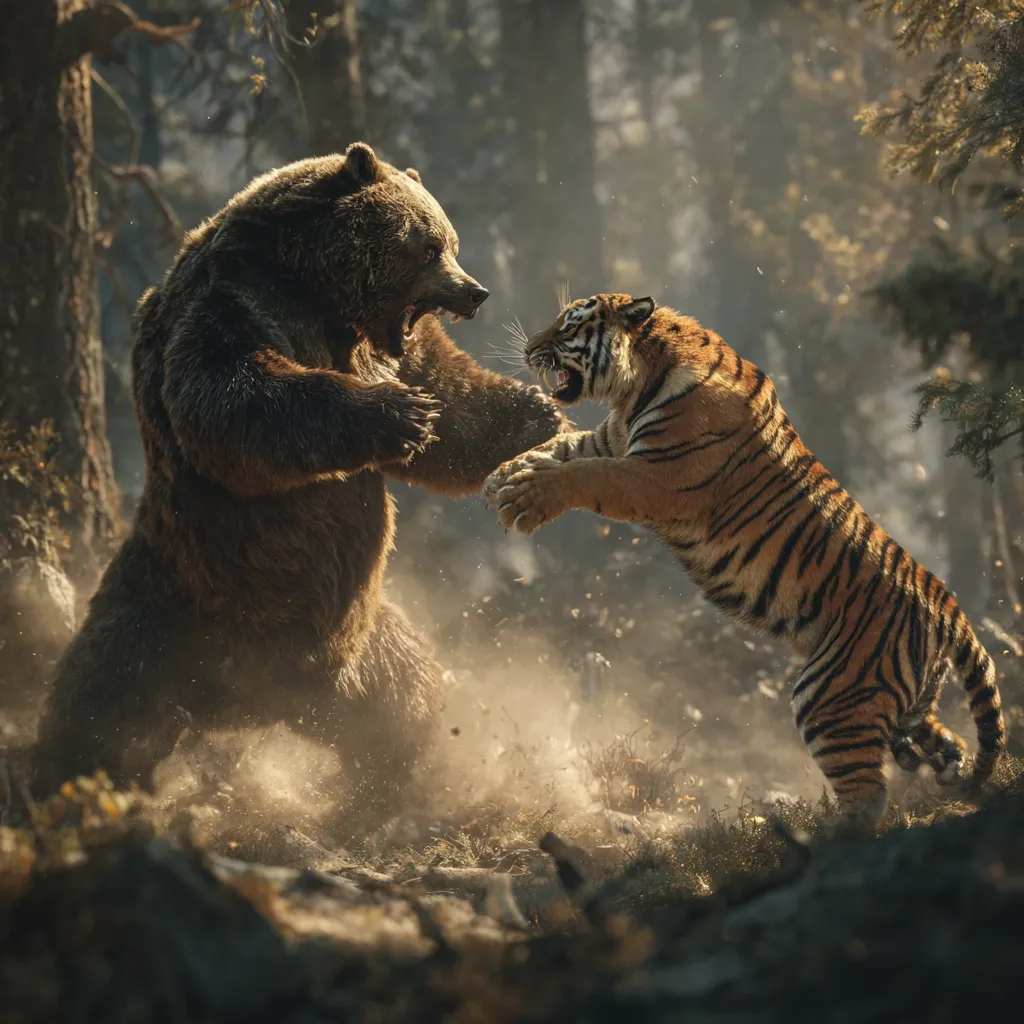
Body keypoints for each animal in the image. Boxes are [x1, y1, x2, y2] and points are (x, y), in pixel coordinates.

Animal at [29, 142, 566, 834]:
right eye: (428, 245)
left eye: (449, 241)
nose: (475, 291)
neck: (316, 288)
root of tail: (239, 708)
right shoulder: (235, 304)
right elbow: (235, 395)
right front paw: (396, 414)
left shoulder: (386, 345)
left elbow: (446, 393)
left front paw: (536, 413)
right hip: (164, 608)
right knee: (97, 700)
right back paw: (60, 784)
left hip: (361, 642)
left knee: (408, 699)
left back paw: (385, 787)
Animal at [482, 291, 1006, 831]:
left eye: (568, 328)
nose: (528, 348)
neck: (634, 387)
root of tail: (948, 606)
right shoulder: (608, 439)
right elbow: (561, 448)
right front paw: (505, 476)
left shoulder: (654, 477)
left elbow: (587, 474)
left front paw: (523, 497)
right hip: (905, 701)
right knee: (941, 739)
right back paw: (947, 766)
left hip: (830, 696)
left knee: (867, 796)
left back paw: (815, 837)